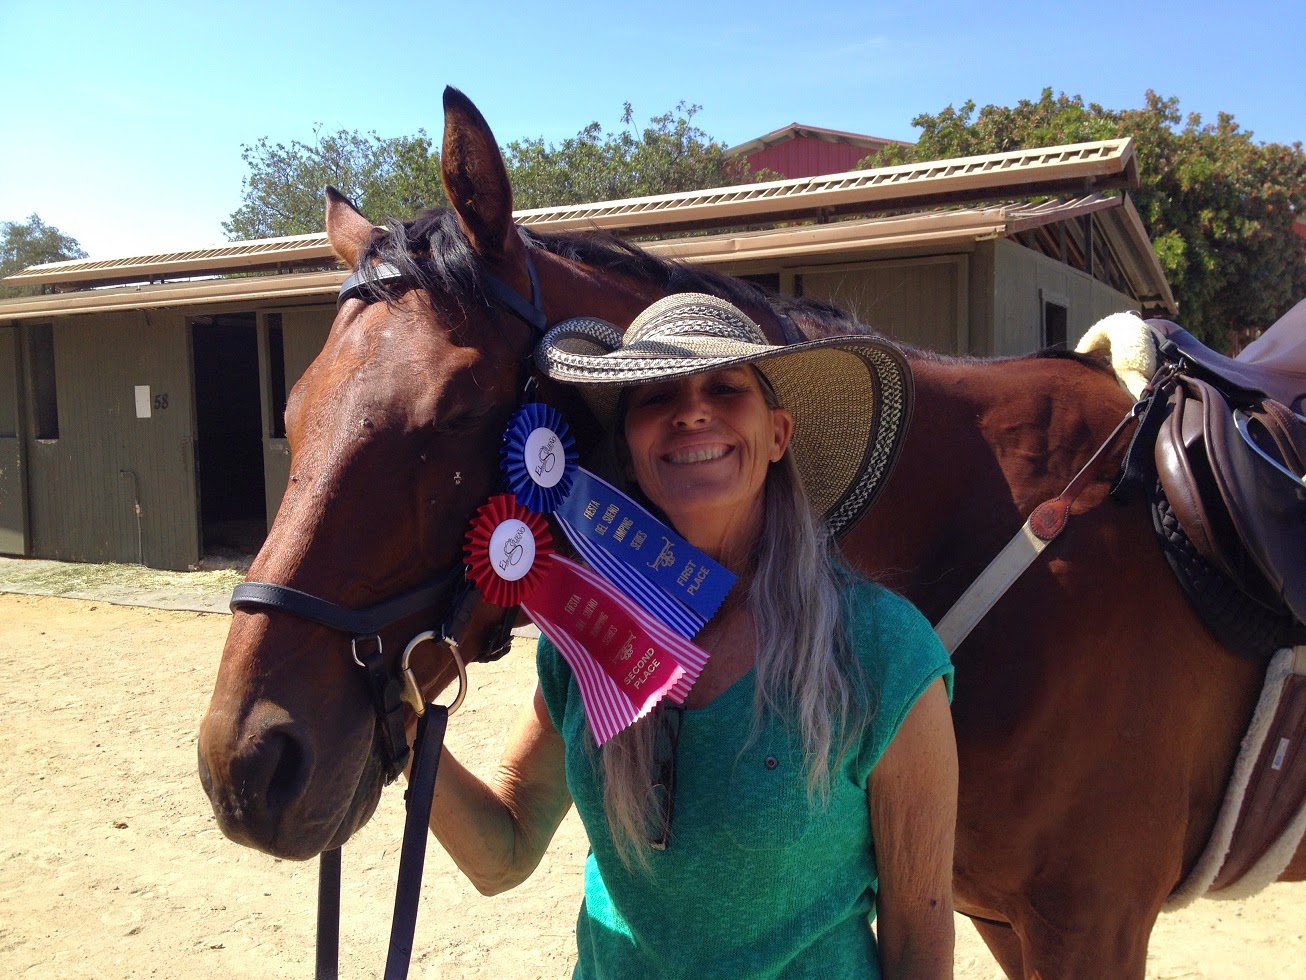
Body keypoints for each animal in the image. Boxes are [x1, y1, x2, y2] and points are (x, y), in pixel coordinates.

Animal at [197, 87, 1304, 977]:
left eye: (454, 413)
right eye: (294, 410)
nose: (248, 764)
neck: (1021, 532)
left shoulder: (1092, 924)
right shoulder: (1002, 917)